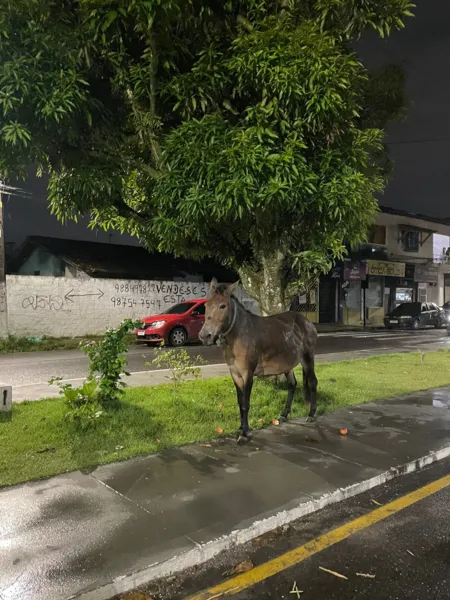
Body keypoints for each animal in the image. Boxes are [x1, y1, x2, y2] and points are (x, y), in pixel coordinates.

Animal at [199, 278, 318, 442]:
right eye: (206, 305)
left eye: (222, 306)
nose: (205, 335)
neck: (239, 334)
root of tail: (306, 321)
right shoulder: (235, 374)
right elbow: (240, 401)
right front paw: (240, 428)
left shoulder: (247, 373)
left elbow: (245, 403)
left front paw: (244, 433)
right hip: (287, 364)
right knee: (292, 384)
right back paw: (284, 414)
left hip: (307, 357)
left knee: (312, 382)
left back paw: (311, 414)